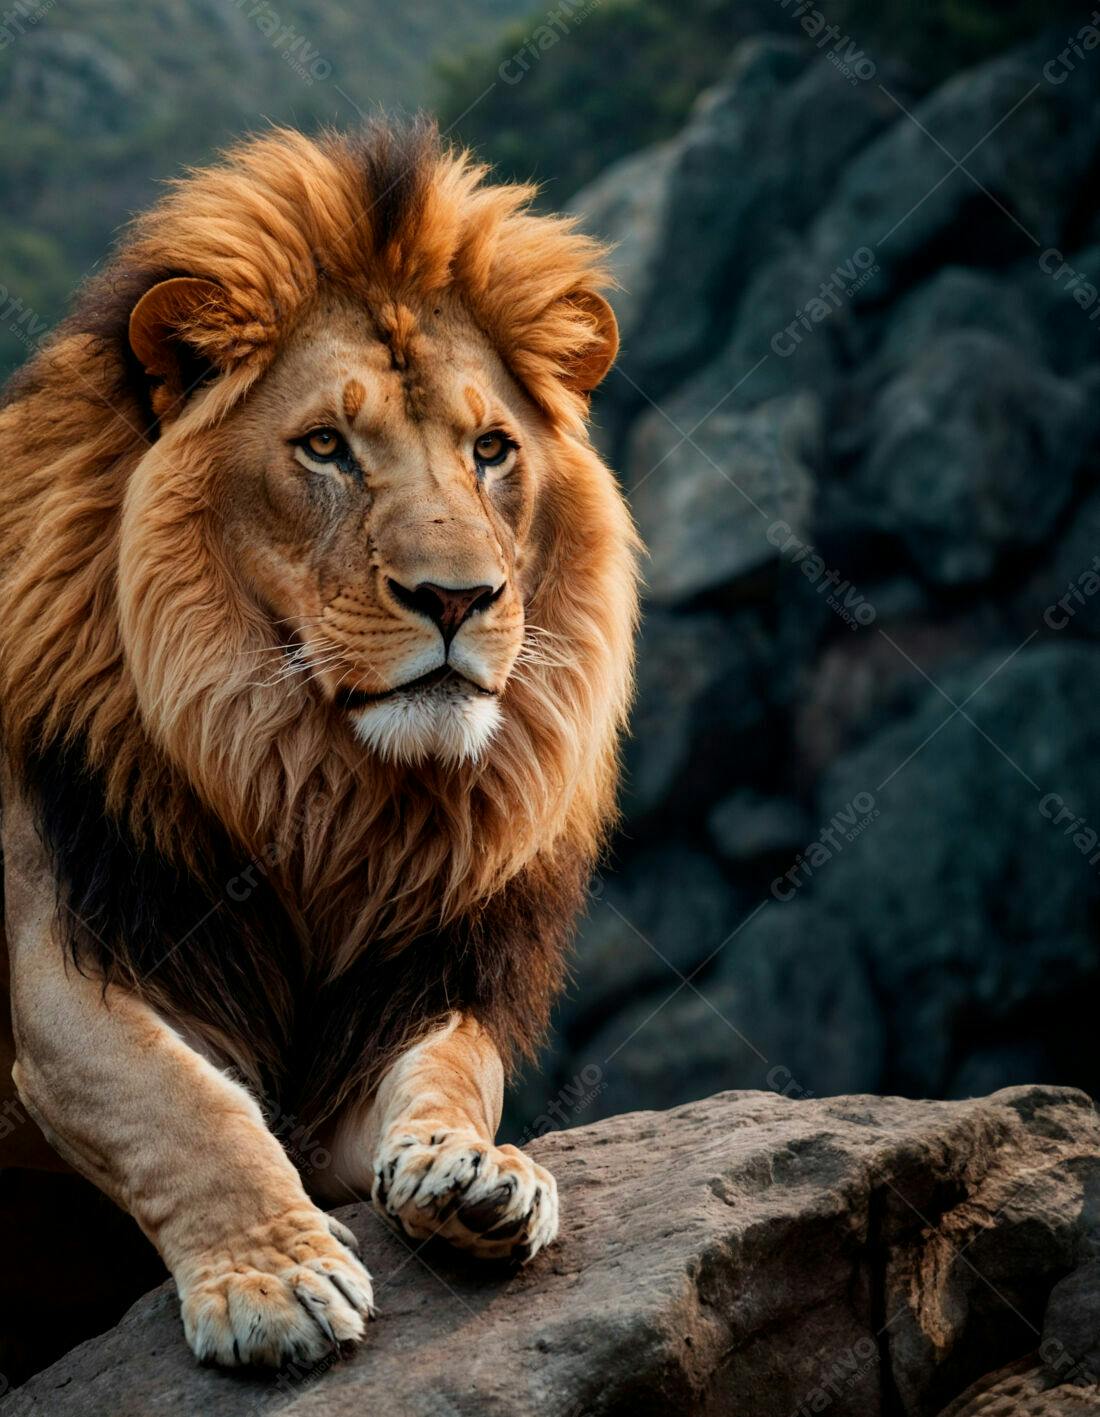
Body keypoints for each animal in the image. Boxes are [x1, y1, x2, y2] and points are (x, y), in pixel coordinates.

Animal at [0, 120, 639, 1369]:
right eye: (327, 447)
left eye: (491, 448)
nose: (457, 598)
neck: (314, 792)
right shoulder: (58, 955)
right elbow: (178, 1101)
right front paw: (274, 1277)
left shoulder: (406, 993)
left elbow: (455, 1062)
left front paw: (478, 1171)